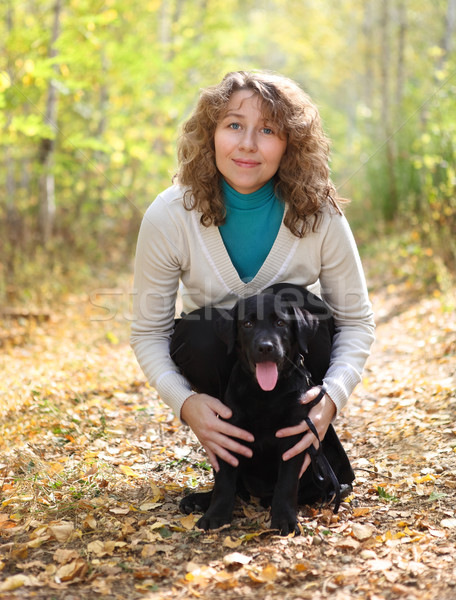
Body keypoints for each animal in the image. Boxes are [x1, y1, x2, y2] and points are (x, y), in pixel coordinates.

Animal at [180, 290, 350, 536]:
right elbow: (224, 480)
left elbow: (286, 483)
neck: (265, 394)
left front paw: (285, 519)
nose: (266, 347)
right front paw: (215, 515)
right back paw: (198, 500)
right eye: (248, 324)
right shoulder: (228, 434)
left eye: (280, 323)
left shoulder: (294, 436)